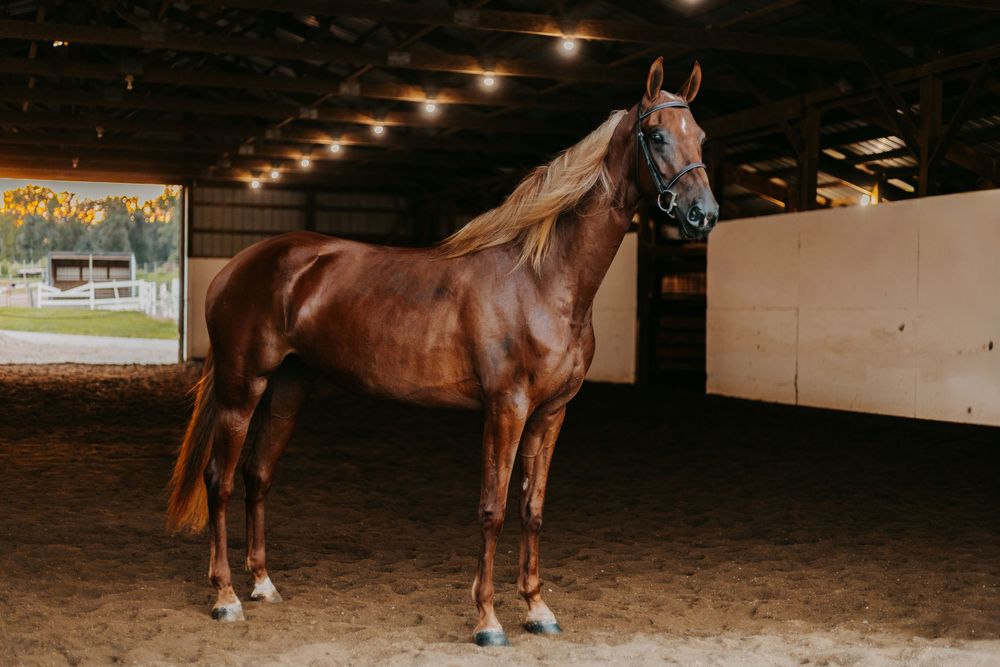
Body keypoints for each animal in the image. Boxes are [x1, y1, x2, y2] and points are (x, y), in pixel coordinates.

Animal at [167, 56, 719, 647]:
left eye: (701, 136)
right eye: (656, 135)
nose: (703, 214)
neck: (543, 279)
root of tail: (236, 266)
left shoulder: (551, 413)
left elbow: (532, 508)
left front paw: (537, 608)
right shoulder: (506, 409)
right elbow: (493, 509)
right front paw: (488, 621)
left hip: (289, 388)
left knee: (258, 475)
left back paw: (263, 584)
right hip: (241, 388)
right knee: (220, 480)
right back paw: (225, 597)